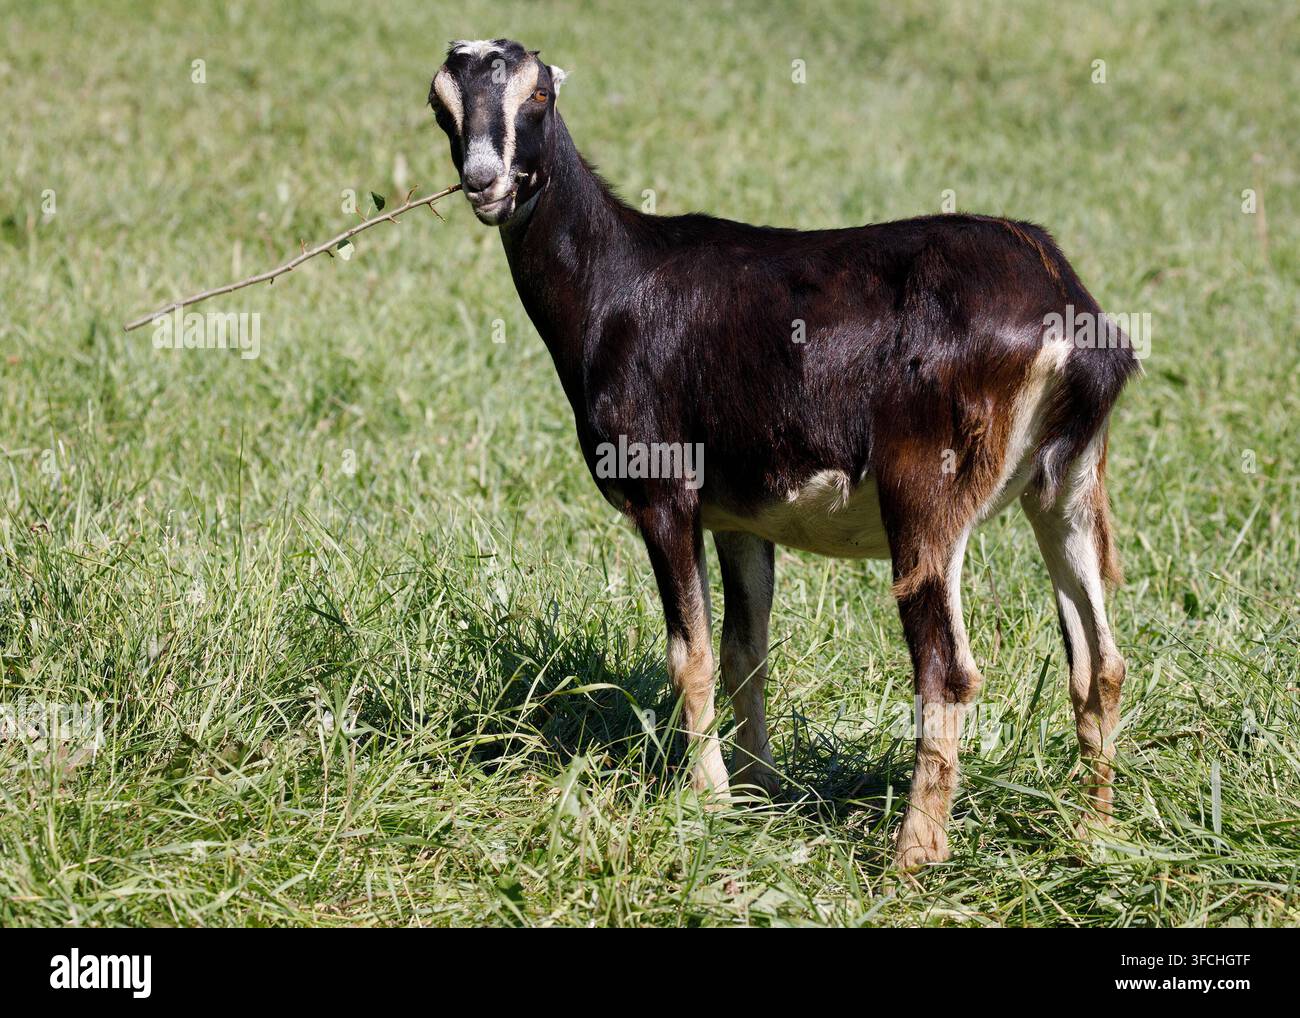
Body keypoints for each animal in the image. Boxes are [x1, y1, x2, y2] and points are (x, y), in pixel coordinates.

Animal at [428, 39, 1139, 869]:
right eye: (442, 103)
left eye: (537, 94)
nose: (485, 182)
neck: (613, 283)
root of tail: (1068, 311)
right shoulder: (742, 515)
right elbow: (746, 652)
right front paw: (760, 796)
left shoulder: (665, 490)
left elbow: (691, 654)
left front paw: (706, 803)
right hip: (1066, 483)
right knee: (1100, 660)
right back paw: (1095, 834)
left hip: (925, 485)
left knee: (948, 669)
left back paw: (913, 855)